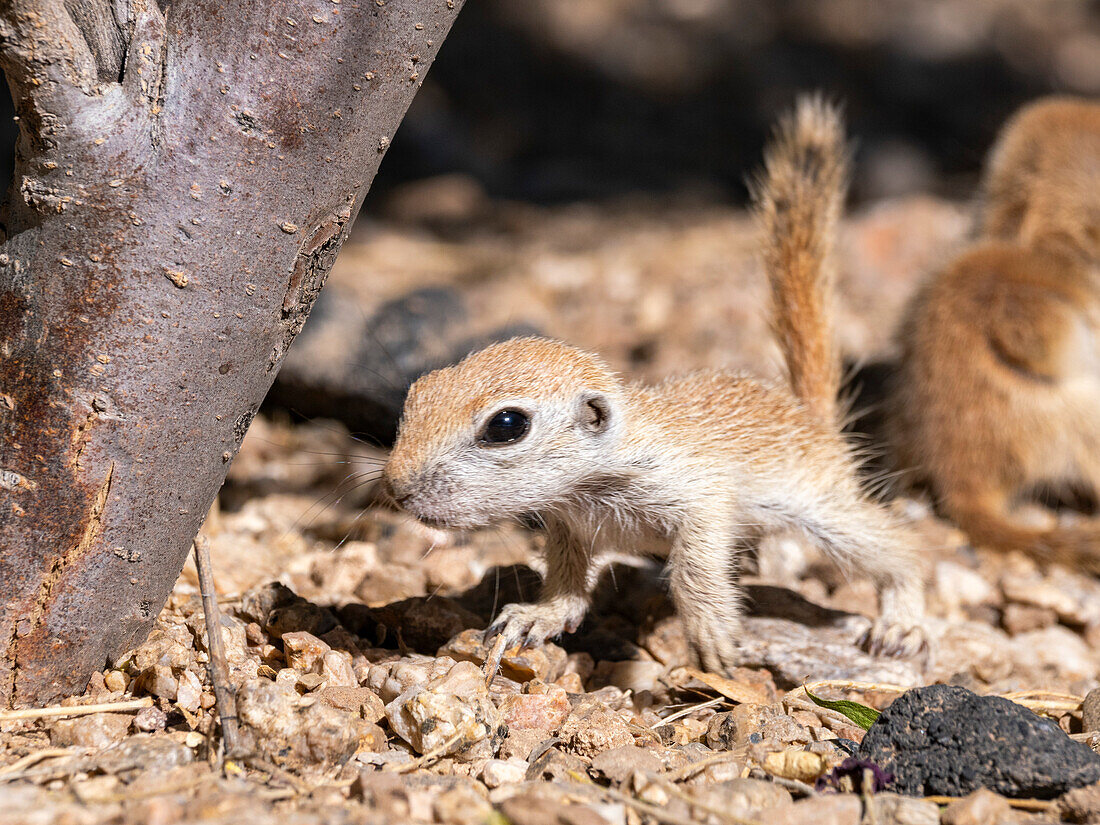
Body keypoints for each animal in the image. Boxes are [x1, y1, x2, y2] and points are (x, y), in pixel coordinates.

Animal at [382, 98, 924, 677]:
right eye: (417, 393)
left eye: (507, 425)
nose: (394, 487)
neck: (591, 483)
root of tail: (806, 412)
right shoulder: (567, 523)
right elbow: (567, 580)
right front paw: (537, 616)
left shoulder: (699, 494)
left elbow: (695, 565)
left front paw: (711, 634)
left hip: (823, 505)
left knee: (898, 546)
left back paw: (902, 621)